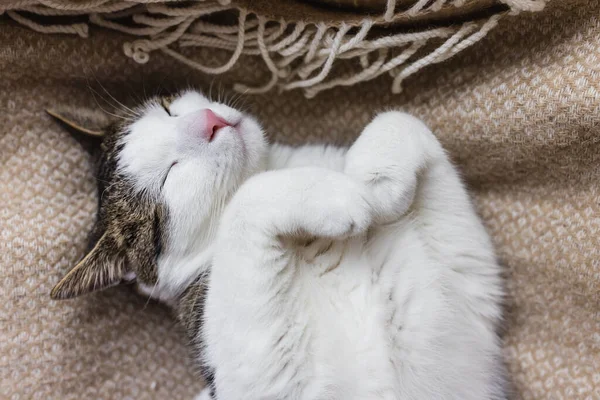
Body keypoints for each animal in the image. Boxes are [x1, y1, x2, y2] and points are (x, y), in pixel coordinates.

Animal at [48, 89, 506, 398]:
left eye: (167, 107)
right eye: (169, 176)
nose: (209, 121)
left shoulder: (468, 292)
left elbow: (399, 118)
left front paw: (377, 179)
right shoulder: (260, 380)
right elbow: (245, 202)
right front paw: (341, 196)